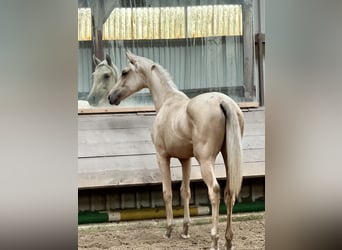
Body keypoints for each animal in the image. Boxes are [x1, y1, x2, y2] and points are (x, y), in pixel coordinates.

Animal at [107, 50, 243, 250]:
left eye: (124, 72)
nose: (111, 97)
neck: (168, 101)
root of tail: (222, 101)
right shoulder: (185, 159)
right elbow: (185, 191)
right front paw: (185, 230)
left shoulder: (162, 157)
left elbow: (167, 192)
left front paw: (169, 230)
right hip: (227, 158)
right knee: (229, 193)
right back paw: (228, 239)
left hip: (206, 161)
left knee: (215, 191)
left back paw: (214, 239)